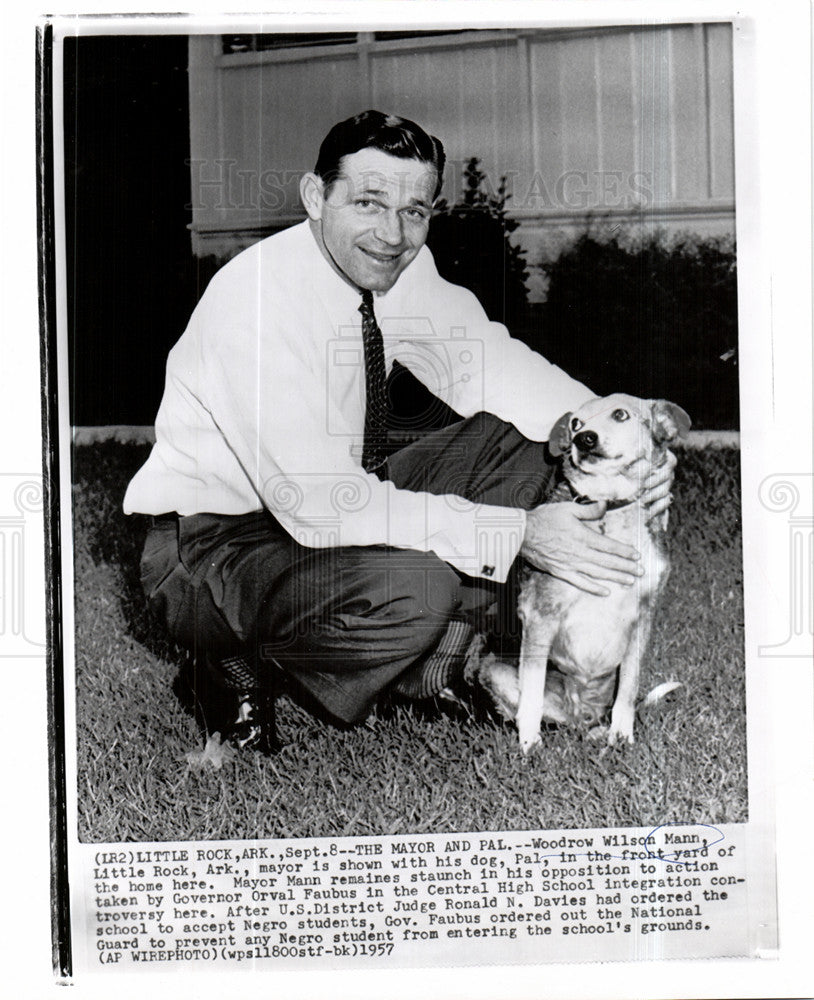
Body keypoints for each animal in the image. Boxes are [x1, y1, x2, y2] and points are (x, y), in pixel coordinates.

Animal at [482, 394, 692, 752]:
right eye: (575, 423)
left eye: (620, 414)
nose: (584, 439)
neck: (610, 508)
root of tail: (582, 711)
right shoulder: (541, 616)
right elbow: (531, 696)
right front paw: (529, 746)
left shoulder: (643, 617)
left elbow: (629, 689)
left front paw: (622, 736)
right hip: (496, 670)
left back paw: (602, 733)